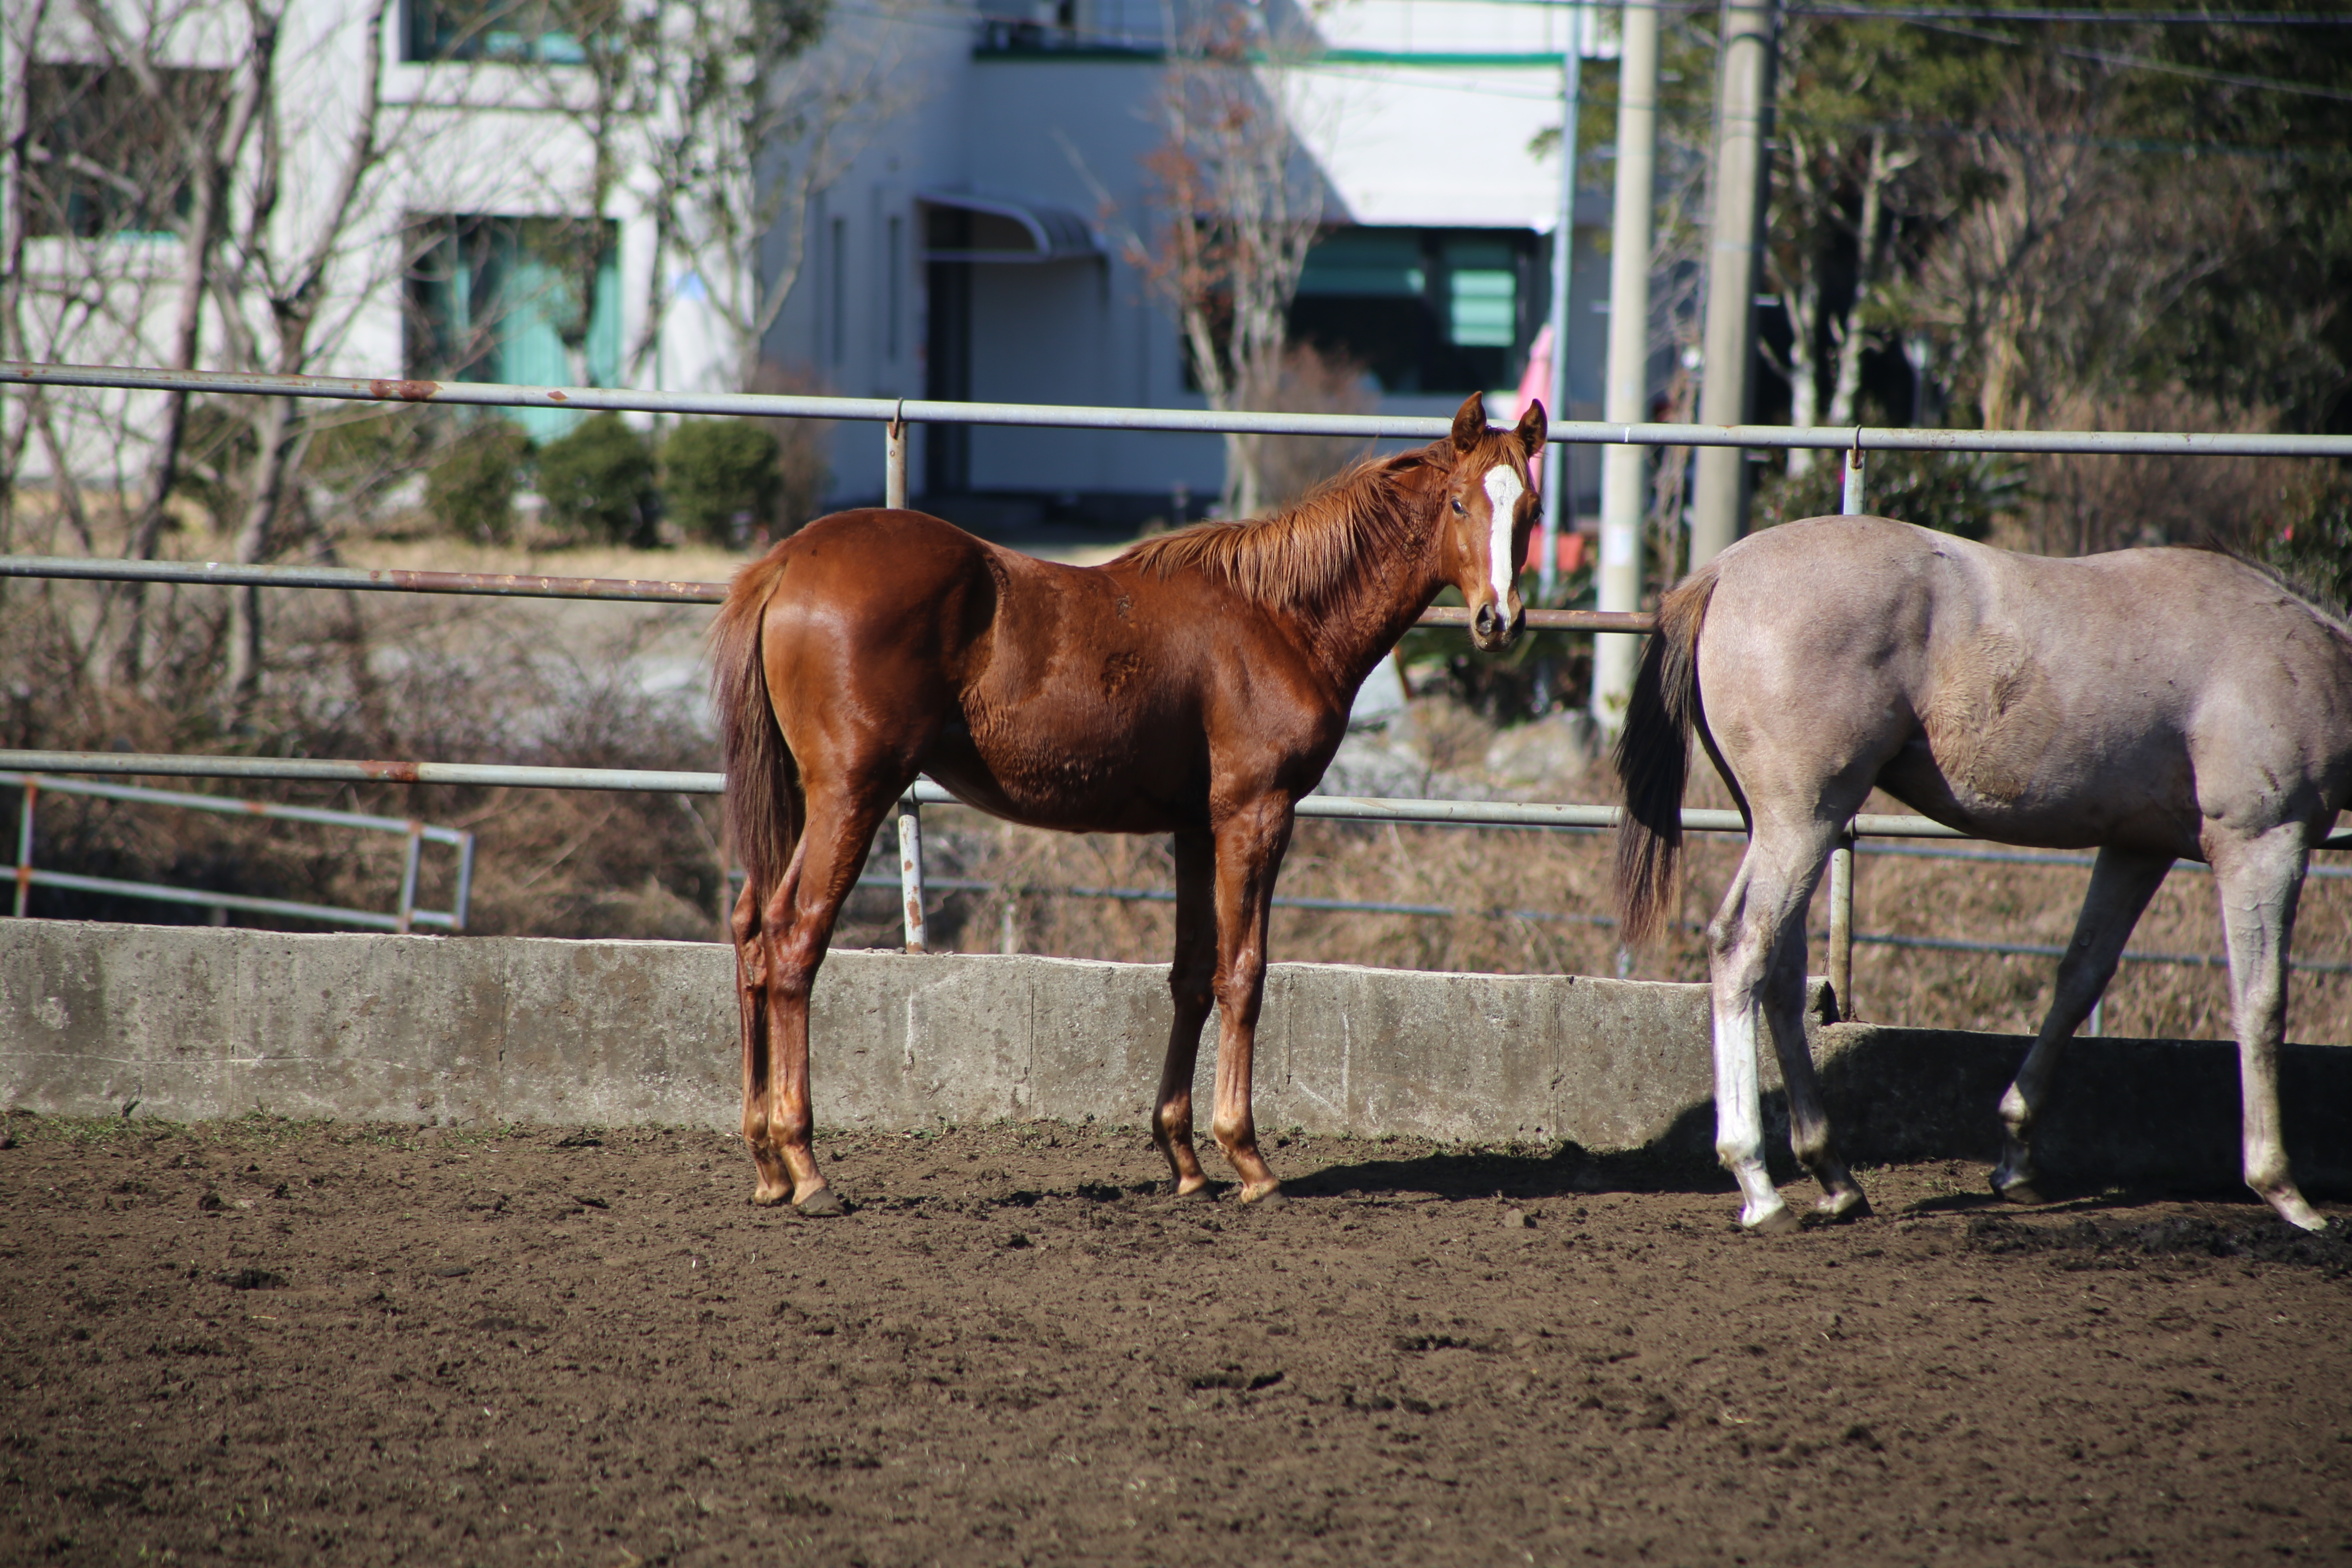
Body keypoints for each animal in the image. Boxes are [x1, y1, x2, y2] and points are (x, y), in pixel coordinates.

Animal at [710, 390, 1543, 1213]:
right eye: (1461, 503)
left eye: (1531, 509)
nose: (1499, 621)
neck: (1278, 618)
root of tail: (786, 563)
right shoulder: (1256, 814)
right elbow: (1245, 974)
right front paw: (1247, 1157)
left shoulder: (1196, 829)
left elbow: (1192, 976)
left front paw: (1185, 1158)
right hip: (854, 792)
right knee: (796, 940)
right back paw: (807, 1166)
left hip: (807, 798)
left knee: (753, 930)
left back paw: (766, 1163)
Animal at [1618, 514, 2352, 1241]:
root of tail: (1723, 571)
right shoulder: (2265, 844)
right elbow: (2261, 1003)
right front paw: (2283, 1189)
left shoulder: (2135, 849)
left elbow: (2079, 981)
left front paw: (2017, 1155)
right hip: (1805, 820)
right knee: (1743, 947)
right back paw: (1758, 1185)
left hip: (1783, 824)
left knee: (1781, 963)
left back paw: (1833, 1175)